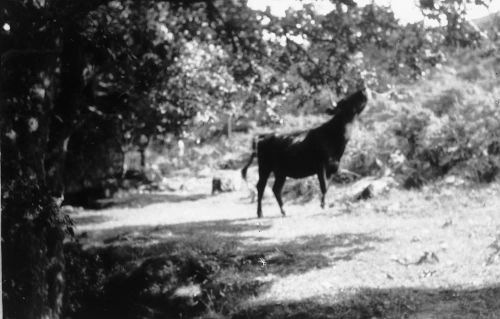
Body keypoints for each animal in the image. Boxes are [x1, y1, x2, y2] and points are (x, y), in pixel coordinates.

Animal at [241, 90, 368, 220]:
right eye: (345, 101)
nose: (362, 91)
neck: (334, 139)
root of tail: (262, 137)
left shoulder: (333, 168)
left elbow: (327, 187)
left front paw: (324, 204)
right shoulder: (320, 166)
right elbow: (323, 186)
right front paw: (323, 205)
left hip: (280, 172)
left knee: (276, 189)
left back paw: (283, 211)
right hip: (264, 168)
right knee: (260, 187)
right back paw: (260, 213)